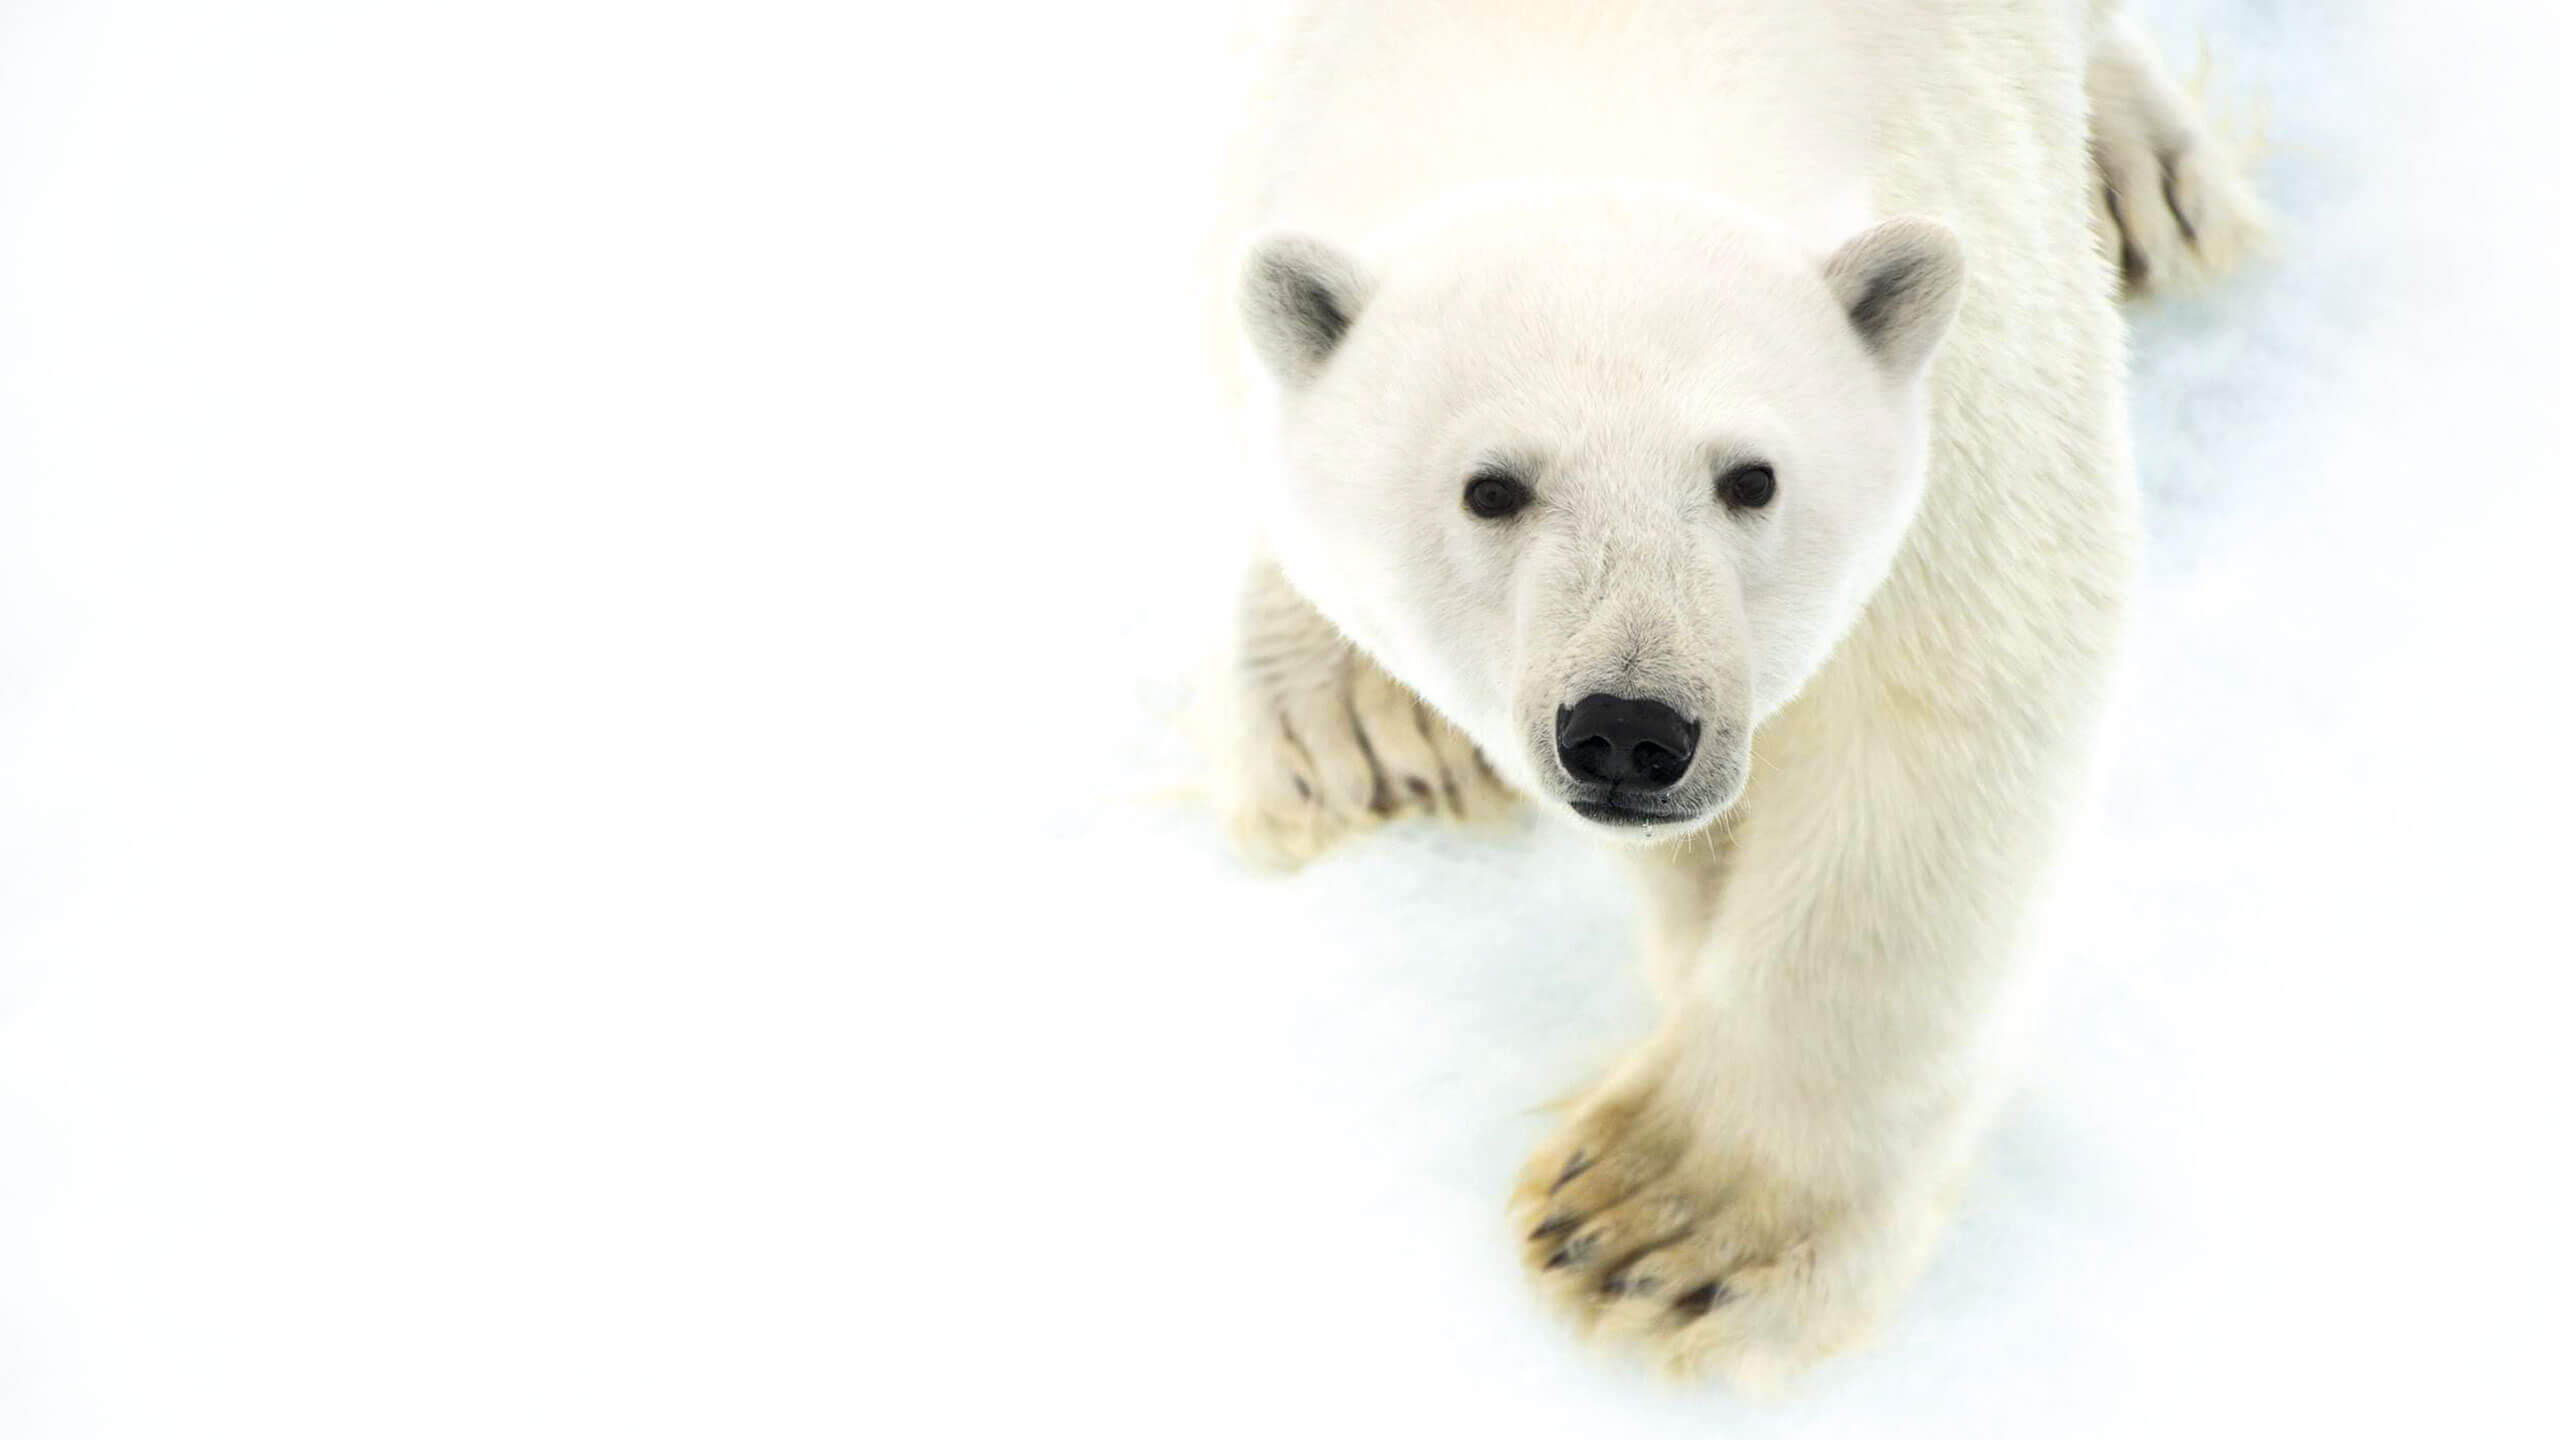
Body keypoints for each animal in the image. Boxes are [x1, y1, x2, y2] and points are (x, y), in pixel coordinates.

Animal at [1208, 0, 2264, 1386]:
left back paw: (2146, 174)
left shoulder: (1974, 291)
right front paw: (1354, 719)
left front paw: (1662, 1229)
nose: (1628, 730)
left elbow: (1942, 697)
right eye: (1490, 488)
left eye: (1749, 478)